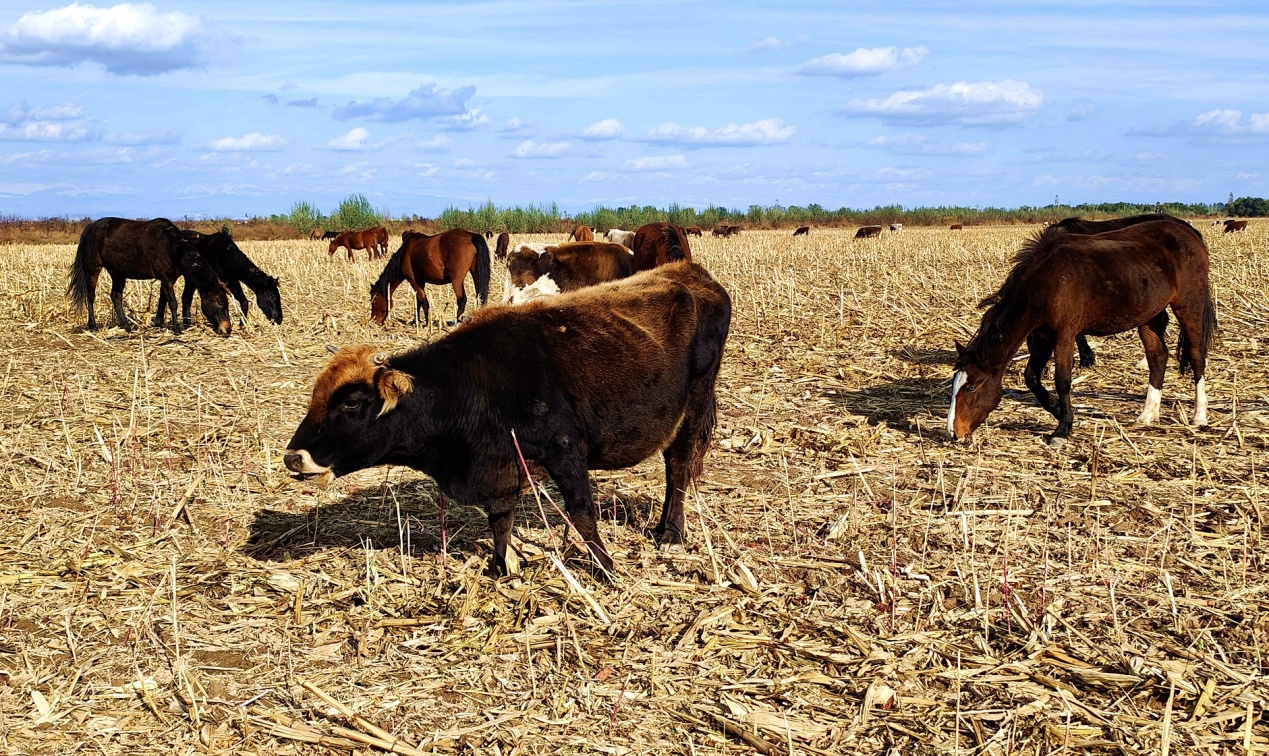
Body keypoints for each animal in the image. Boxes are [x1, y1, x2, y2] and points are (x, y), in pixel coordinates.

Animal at [68, 217, 232, 335]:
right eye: (220, 301)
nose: (228, 329)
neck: (174, 247)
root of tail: (89, 227)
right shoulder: (166, 277)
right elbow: (172, 302)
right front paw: (177, 328)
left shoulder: (169, 278)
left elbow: (163, 300)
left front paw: (159, 323)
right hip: (93, 268)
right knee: (90, 296)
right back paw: (93, 325)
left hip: (117, 273)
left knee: (115, 296)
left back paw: (126, 325)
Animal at [284, 262, 732, 578]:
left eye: (351, 404)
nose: (292, 457)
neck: (477, 381)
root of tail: (689, 272)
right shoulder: (500, 466)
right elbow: (500, 520)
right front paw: (500, 567)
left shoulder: (565, 451)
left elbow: (582, 513)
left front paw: (604, 568)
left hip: (692, 410)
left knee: (678, 469)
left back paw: (670, 533)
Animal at [949, 220, 1215, 445]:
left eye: (971, 387)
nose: (954, 432)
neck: (1046, 282)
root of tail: (1189, 231)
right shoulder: (1041, 337)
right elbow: (1032, 377)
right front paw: (1059, 411)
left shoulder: (1064, 335)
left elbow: (1062, 380)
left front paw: (1062, 429)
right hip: (1149, 315)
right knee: (1157, 356)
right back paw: (1148, 414)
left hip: (1189, 304)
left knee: (1196, 355)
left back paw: (1199, 416)